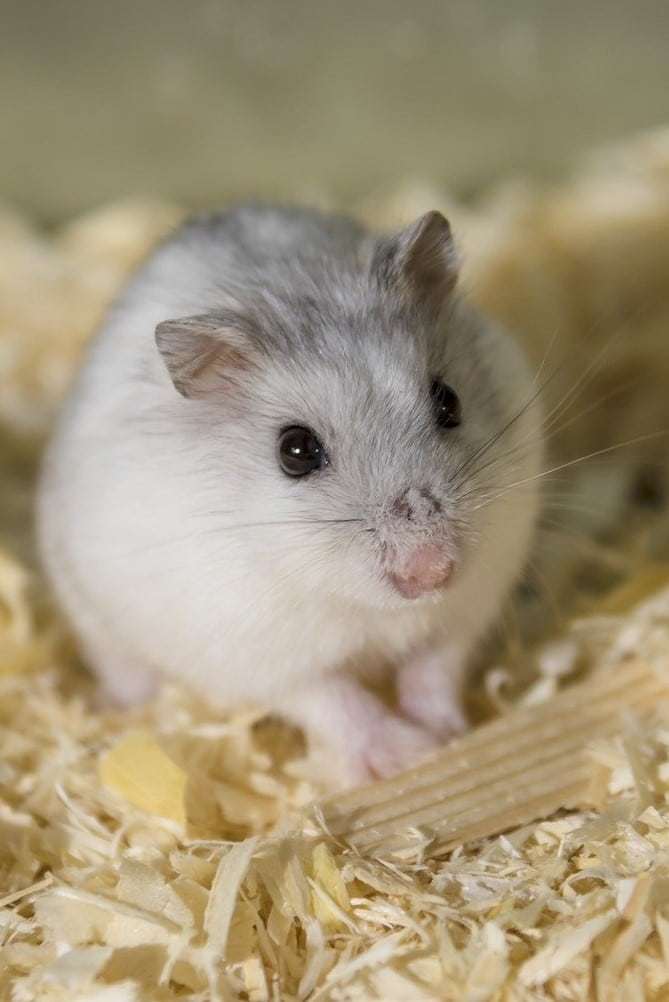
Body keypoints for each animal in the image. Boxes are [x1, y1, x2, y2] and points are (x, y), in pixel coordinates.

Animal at [37, 205, 543, 783]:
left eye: (449, 401)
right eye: (295, 451)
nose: (431, 572)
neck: (369, 607)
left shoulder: (472, 600)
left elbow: (436, 664)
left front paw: (446, 732)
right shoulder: (257, 655)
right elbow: (333, 700)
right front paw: (408, 753)